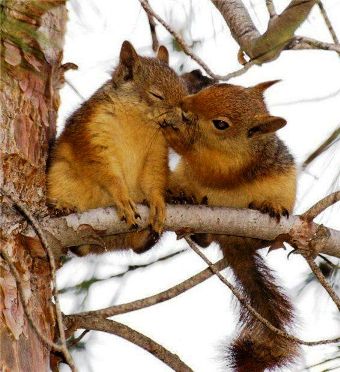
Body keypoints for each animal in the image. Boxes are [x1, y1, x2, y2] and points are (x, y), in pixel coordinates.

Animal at [46, 41, 190, 256]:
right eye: (156, 94)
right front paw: (122, 197)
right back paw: (63, 209)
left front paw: (157, 201)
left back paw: (152, 230)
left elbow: (154, 176)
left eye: (184, 88)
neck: (139, 121)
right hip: (60, 177)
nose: (186, 116)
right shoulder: (93, 133)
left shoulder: (157, 149)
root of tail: (109, 244)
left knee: (137, 247)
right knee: (79, 249)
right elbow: (106, 170)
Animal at [161, 81, 298, 372]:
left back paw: (269, 208)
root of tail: (233, 241)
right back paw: (188, 210)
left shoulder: (232, 165)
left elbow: (211, 167)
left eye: (221, 124)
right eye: (214, 87)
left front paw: (175, 135)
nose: (185, 103)